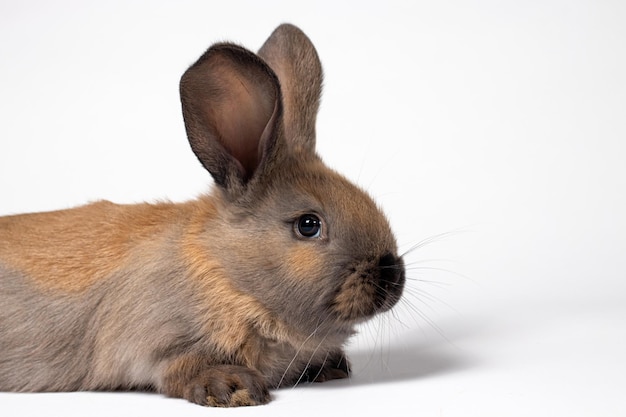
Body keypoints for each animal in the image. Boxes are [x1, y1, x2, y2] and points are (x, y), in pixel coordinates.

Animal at [0, 23, 404, 406]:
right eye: (308, 225)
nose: (392, 274)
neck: (229, 275)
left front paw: (330, 367)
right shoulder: (158, 341)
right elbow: (181, 368)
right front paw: (232, 388)